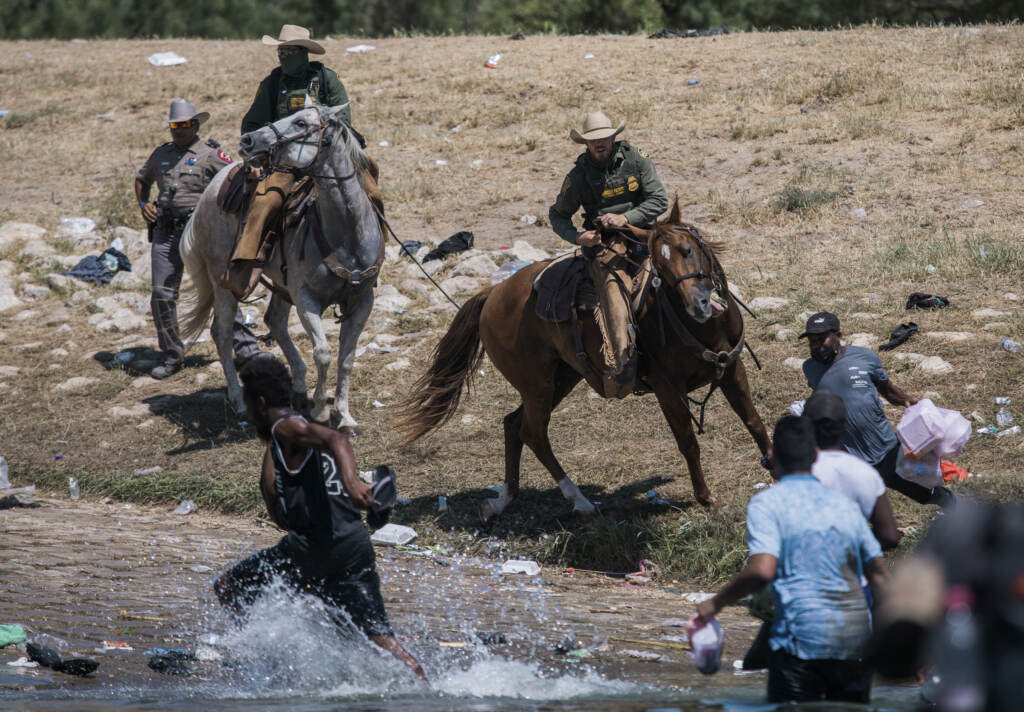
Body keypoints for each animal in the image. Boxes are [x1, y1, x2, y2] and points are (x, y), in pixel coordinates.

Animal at [179, 104, 382, 430]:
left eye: (300, 122)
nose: (248, 140)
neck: (346, 234)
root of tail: (210, 190)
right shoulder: (306, 298)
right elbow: (324, 353)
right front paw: (321, 410)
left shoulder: (363, 299)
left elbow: (347, 358)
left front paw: (345, 415)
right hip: (223, 281)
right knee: (222, 332)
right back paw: (239, 401)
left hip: (281, 284)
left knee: (274, 320)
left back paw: (298, 387)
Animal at [398, 201, 771, 520]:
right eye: (659, 266)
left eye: (688, 250)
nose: (699, 304)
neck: (701, 326)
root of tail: (492, 295)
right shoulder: (669, 389)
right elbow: (688, 442)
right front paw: (707, 499)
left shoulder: (731, 368)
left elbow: (754, 421)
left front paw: (773, 464)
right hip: (537, 384)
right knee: (533, 432)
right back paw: (579, 500)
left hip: (561, 378)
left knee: (513, 424)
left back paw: (503, 499)